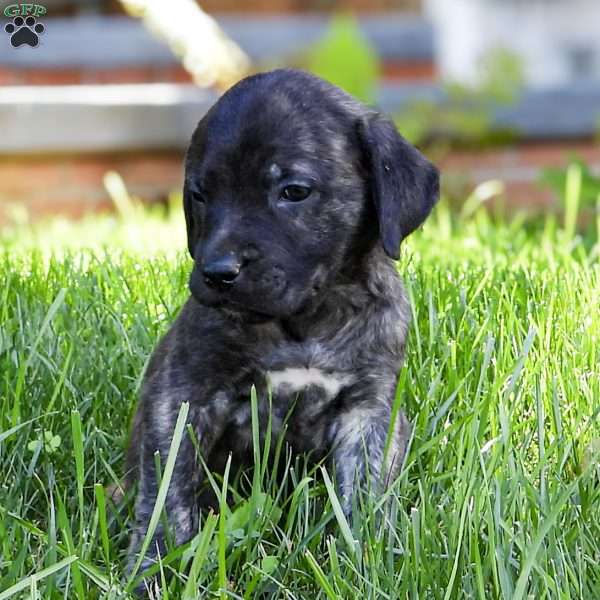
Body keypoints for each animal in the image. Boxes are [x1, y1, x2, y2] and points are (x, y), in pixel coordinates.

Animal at [126, 68, 438, 588]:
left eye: (293, 191)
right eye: (200, 195)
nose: (218, 272)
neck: (303, 321)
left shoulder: (368, 409)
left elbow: (364, 490)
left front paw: (364, 559)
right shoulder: (183, 394)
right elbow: (168, 491)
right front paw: (154, 565)